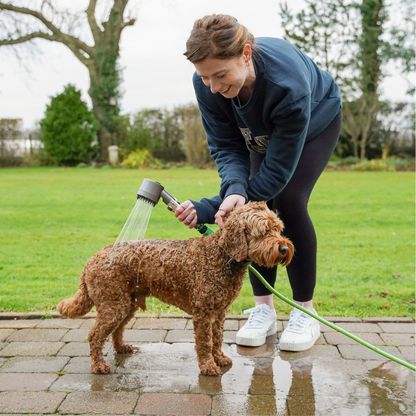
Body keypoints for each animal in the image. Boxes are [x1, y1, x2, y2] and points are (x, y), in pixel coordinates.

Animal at [58, 202, 294, 376]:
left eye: (278, 228)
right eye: (264, 231)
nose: (284, 248)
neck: (222, 255)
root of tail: (91, 261)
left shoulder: (219, 313)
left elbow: (217, 338)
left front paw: (219, 358)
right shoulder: (203, 313)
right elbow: (205, 342)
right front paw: (208, 366)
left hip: (126, 303)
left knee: (117, 329)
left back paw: (121, 347)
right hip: (113, 304)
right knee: (95, 335)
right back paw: (98, 366)